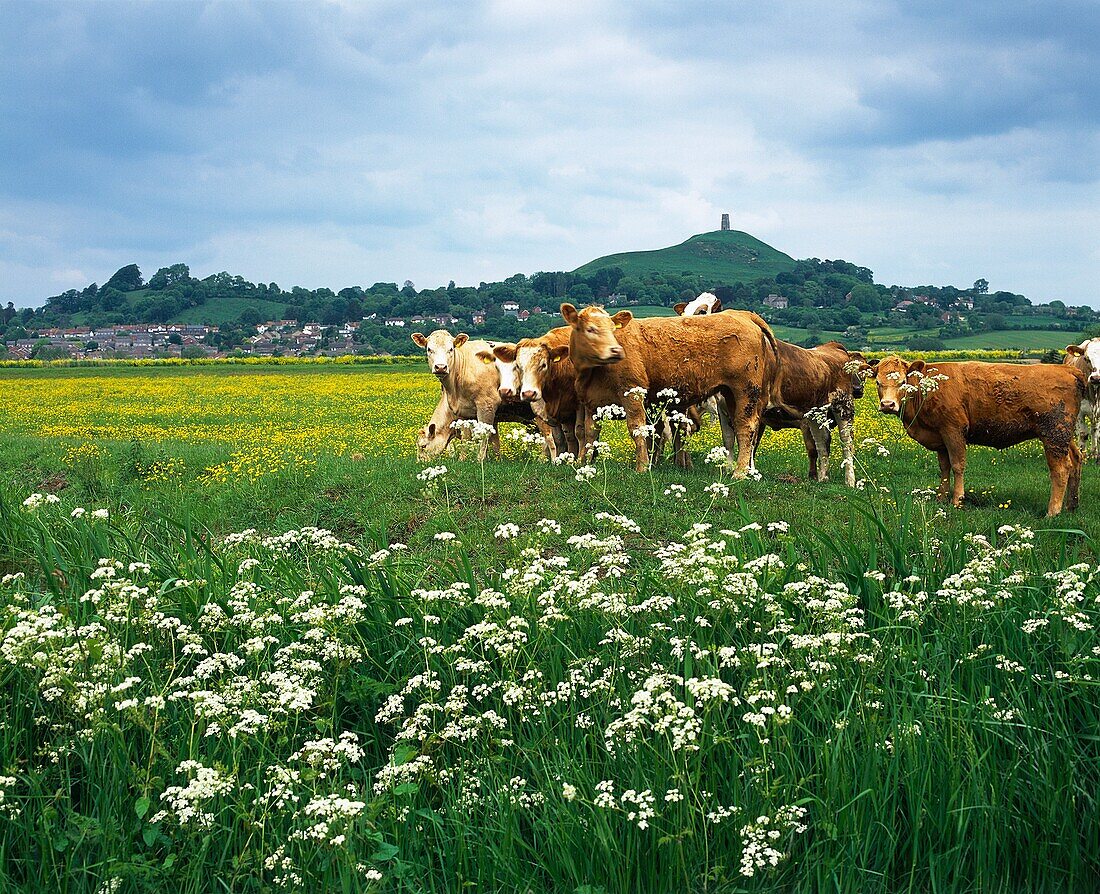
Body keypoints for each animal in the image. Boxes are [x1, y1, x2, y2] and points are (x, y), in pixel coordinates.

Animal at [558, 303, 792, 475]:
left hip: (746, 390)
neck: (592, 373)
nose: (616, 350)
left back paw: (740, 473)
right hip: (729, 393)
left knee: (746, 428)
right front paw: (585, 463)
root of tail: (742, 314)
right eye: (590, 329)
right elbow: (590, 434)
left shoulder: (633, 394)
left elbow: (637, 429)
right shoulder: (591, 403)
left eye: (612, 329)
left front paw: (642, 467)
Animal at [871, 356, 1086, 516]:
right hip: (1065, 436)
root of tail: (1068, 370)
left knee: (1060, 469)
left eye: (902, 382)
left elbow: (957, 465)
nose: (887, 405)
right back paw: (1072, 505)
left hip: (1054, 435)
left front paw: (957, 500)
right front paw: (941, 497)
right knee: (1076, 460)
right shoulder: (940, 437)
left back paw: (1053, 512)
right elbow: (944, 468)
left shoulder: (953, 429)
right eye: (878, 382)